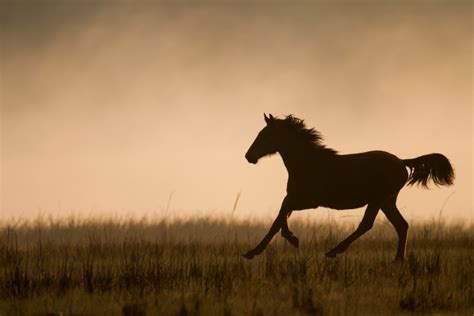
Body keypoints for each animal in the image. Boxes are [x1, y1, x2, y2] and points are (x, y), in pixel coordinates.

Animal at [243, 113, 454, 262]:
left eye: (265, 135)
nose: (248, 156)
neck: (307, 163)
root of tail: (402, 162)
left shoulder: (310, 201)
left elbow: (279, 218)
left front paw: (256, 250)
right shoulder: (295, 197)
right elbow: (281, 215)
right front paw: (289, 239)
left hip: (378, 199)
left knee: (367, 224)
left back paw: (333, 251)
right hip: (387, 201)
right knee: (401, 225)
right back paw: (398, 260)